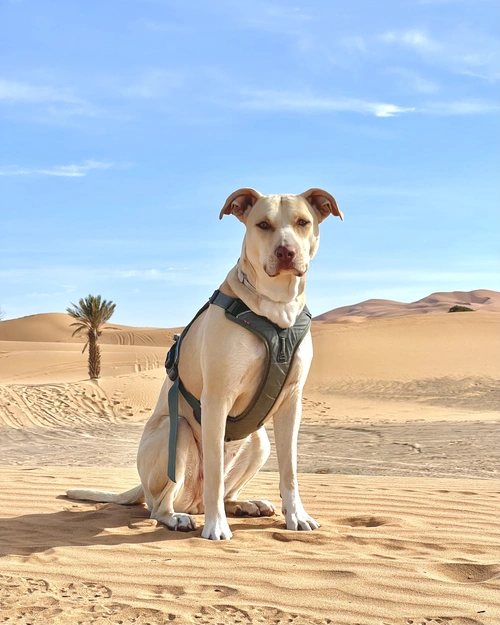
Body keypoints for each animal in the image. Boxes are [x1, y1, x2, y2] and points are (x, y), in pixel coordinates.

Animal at [67, 188, 344, 540]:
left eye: (302, 222)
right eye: (263, 224)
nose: (286, 252)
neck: (276, 309)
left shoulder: (291, 402)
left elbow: (290, 471)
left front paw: (297, 516)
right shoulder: (217, 399)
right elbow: (213, 472)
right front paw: (216, 526)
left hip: (259, 441)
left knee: (224, 492)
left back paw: (245, 504)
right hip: (177, 432)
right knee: (162, 504)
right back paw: (178, 517)